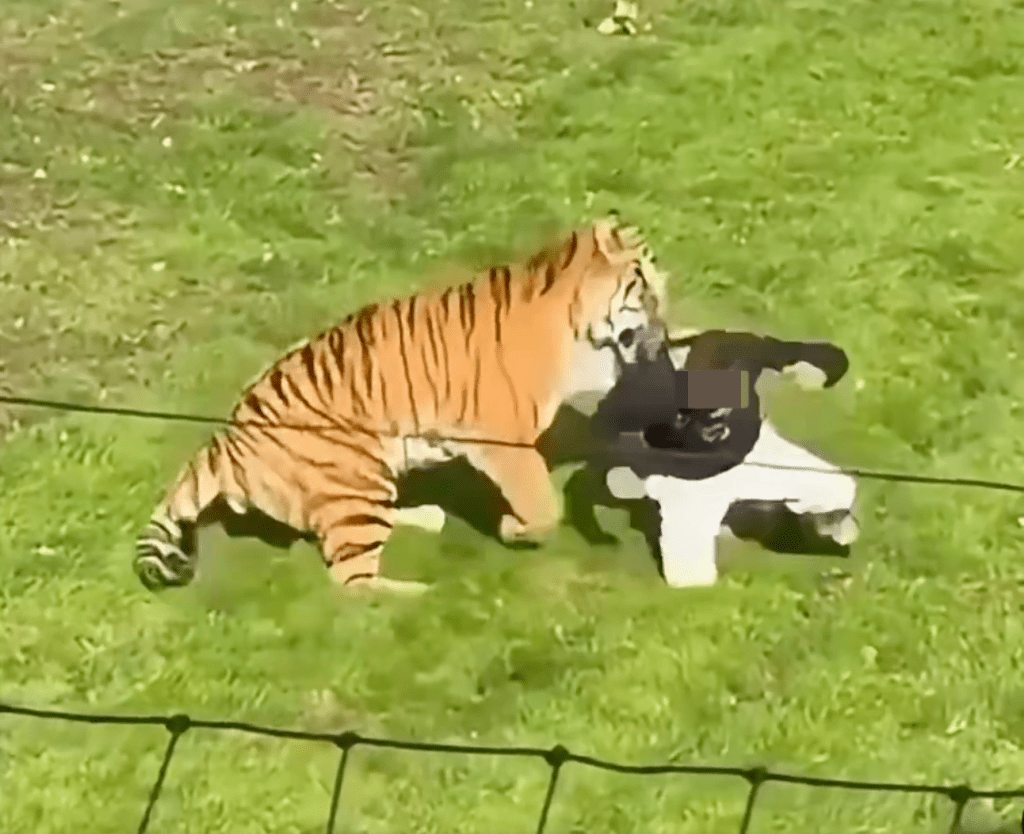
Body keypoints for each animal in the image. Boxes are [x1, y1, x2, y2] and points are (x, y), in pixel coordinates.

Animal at [133, 216, 672, 595]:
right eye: (645, 283)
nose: (667, 320)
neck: (582, 333)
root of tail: (223, 439)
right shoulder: (504, 440)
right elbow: (544, 505)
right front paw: (513, 529)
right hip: (356, 471)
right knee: (351, 582)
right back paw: (421, 594)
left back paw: (428, 518)